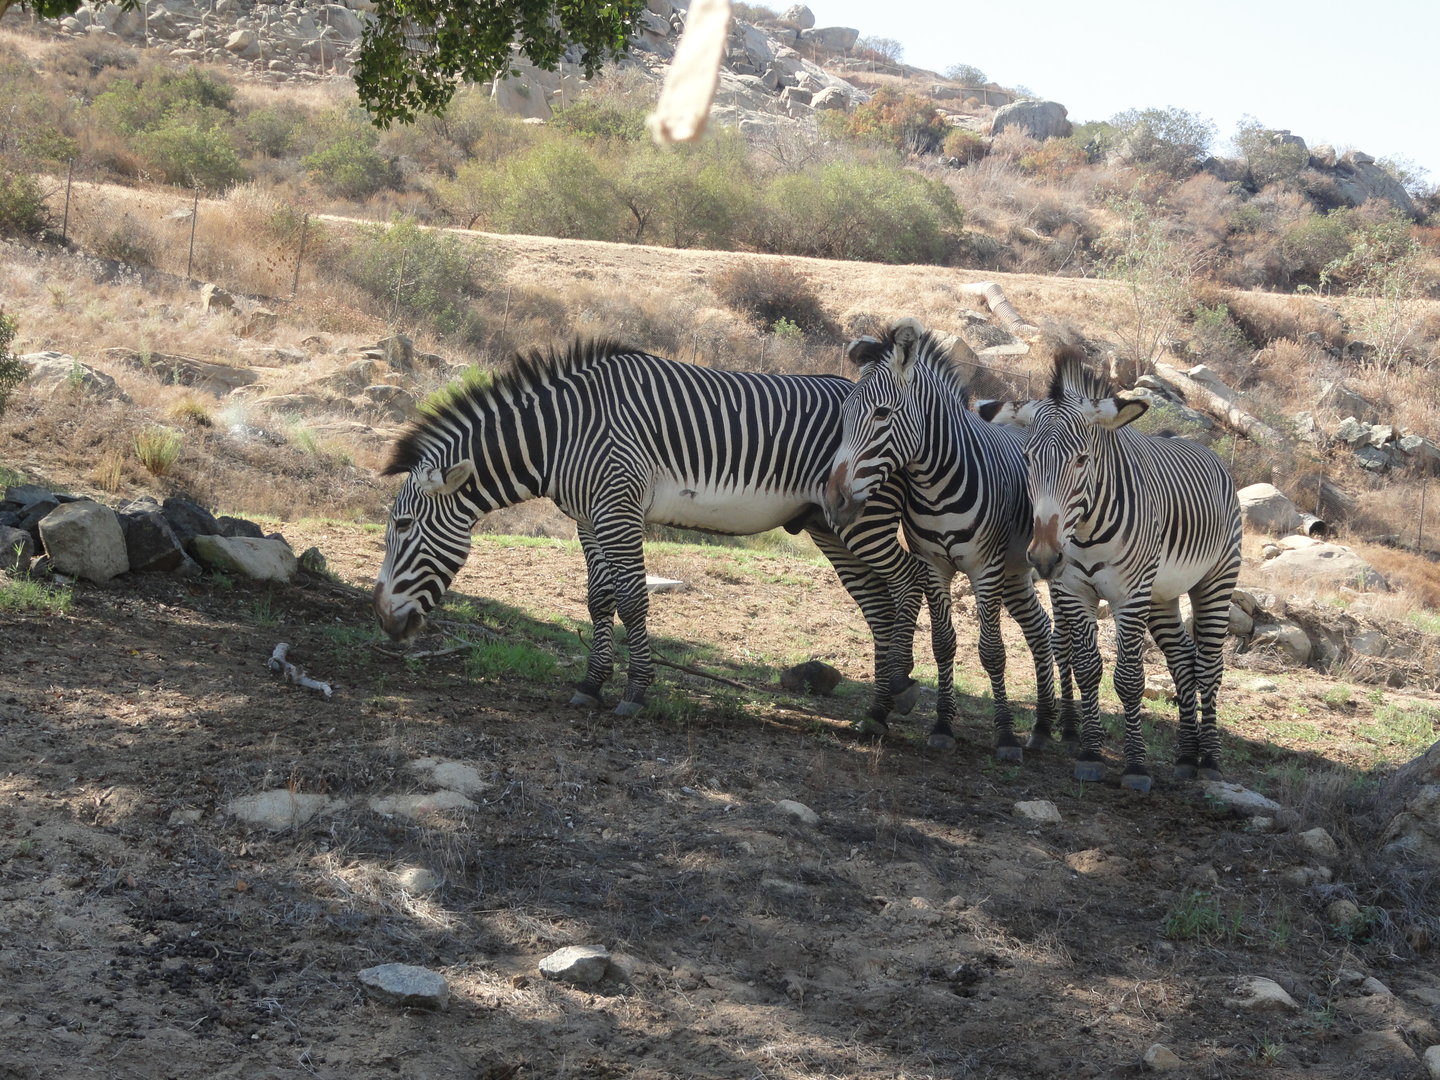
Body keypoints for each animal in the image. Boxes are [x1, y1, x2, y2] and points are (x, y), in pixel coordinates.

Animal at [372, 338, 937, 721]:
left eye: (401, 524)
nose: (382, 620)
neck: (561, 434)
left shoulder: (619, 509)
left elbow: (632, 598)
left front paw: (636, 690)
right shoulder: (589, 518)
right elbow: (599, 599)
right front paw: (591, 684)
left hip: (866, 515)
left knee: (908, 578)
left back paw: (899, 690)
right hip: (830, 524)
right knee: (878, 602)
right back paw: (885, 699)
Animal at [822, 317, 1059, 757]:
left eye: (882, 413)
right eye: (843, 414)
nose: (833, 500)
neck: (935, 486)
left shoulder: (984, 568)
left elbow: (992, 651)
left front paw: (1004, 735)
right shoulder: (934, 565)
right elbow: (943, 643)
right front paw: (943, 726)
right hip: (1016, 571)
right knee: (1039, 629)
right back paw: (1042, 725)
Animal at [976, 350, 1242, 793]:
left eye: (1082, 459)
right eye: (1028, 459)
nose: (1044, 557)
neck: (1086, 532)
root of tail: (1207, 452)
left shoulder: (1129, 596)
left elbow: (1130, 678)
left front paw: (1135, 766)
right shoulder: (1074, 590)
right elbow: (1087, 668)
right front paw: (1090, 754)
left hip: (1216, 581)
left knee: (1208, 666)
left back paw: (1210, 761)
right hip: (1162, 595)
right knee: (1183, 661)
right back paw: (1186, 757)